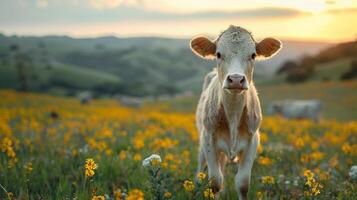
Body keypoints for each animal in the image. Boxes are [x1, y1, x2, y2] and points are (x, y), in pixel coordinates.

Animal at [189, 24, 280, 198]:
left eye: (253, 55)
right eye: (218, 54)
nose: (236, 79)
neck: (232, 116)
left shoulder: (253, 141)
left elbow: (243, 183)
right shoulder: (208, 139)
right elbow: (215, 182)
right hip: (202, 140)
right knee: (201, 168)